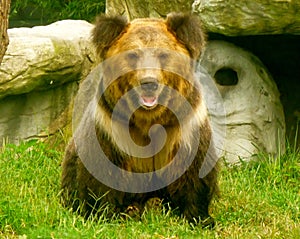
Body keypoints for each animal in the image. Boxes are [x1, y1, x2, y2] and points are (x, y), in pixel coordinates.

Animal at [61, 12, 218, 227]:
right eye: (133, 55)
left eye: (163, 55)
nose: (149, 82)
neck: (148, 117)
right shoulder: (111, 126)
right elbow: (103, 171)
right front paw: (104, 214)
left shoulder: (185, 125)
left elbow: (194, 170)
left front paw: (199, 217)